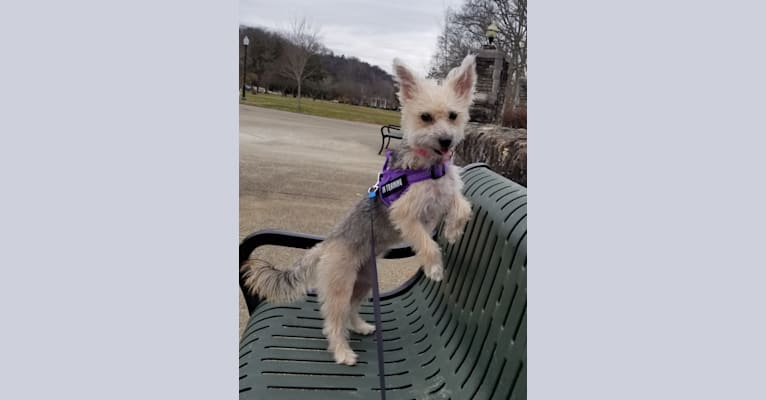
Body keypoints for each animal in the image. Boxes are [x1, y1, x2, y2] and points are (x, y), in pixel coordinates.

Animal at [246, 54, 476, 366]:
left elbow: (463, 207)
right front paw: (434, 268)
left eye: (453, 115)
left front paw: (452, 232)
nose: (446, 141)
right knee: (333, 322)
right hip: (341, 286)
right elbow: (427, 243)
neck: (430, 166)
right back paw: (343, 353)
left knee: (353, 310)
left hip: (365, 281)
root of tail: (325, 245)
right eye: (426, 117)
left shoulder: (445, 195)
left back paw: (361, 326)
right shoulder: (406, 215)